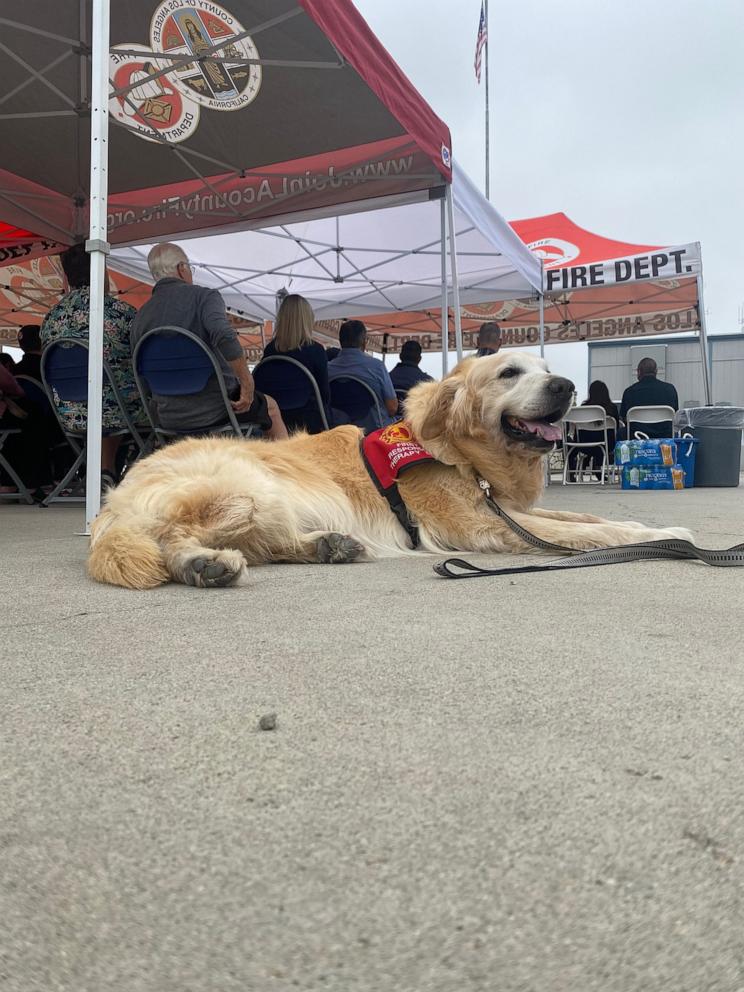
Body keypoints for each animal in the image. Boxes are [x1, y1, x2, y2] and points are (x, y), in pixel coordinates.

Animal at [87, 352, 692, 588]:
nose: (565, 387)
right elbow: (591, 533)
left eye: (545, 369)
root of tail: (112, 503)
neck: (461, 454)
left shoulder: (506, 508)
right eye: (509, 372)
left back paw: (329, 545)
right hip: (249, 490)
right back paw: (202, 565)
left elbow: (590, 519)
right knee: (172, 537)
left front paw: (650, 529)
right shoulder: (485, 524)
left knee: (269, 543)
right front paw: (671, 533)